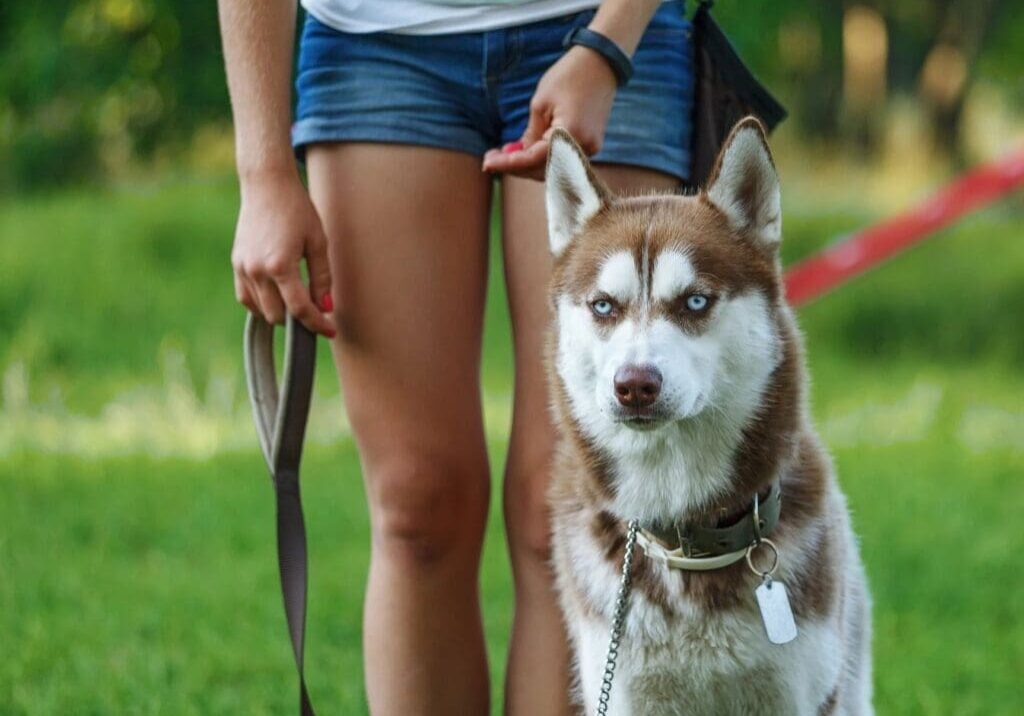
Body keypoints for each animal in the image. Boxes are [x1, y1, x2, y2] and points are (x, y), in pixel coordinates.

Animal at [544, 118, 872, 716]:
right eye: (604, 306)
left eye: (694, 302)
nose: (635, 385)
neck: (685, 536)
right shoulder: (624, 689)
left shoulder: (802, 693)